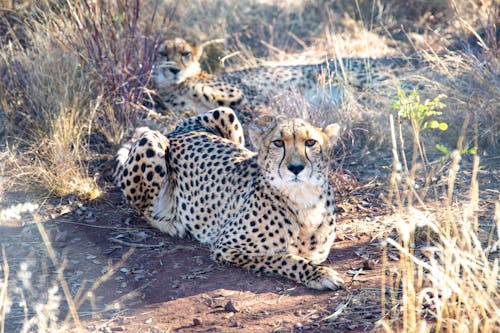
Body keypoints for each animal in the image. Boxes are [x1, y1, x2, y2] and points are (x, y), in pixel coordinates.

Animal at [114, 107, 344, 288]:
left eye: (311, 142)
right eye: (278, 143)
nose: (296, 168)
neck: (303, 199)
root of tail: (176, 131)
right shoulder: (226, 246)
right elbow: (284, 258)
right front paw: (319, 274)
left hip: (226, 112)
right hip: (151, 142)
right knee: (142, 208)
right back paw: (172, 224)